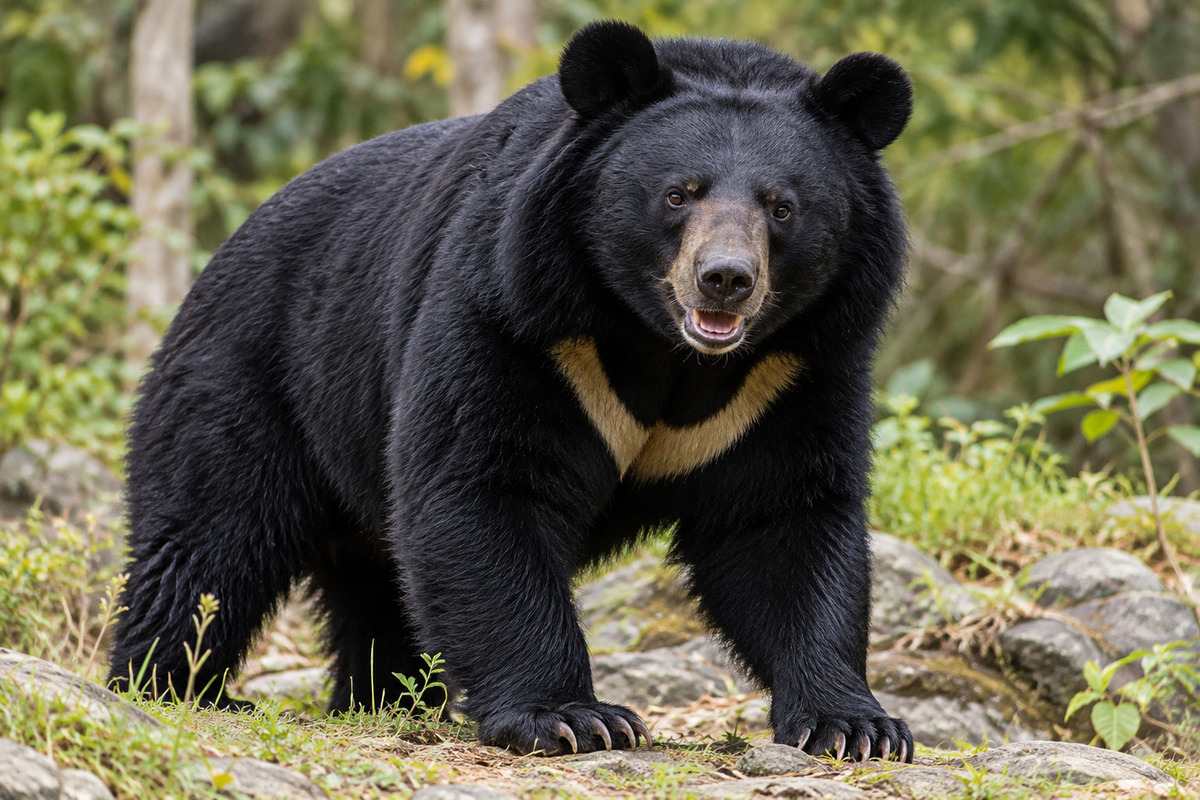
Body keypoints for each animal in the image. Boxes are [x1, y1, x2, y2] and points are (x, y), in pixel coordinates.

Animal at [108, 20, 914, 761]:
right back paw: (173, 687)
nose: (725, 279)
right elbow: (482, 484)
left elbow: (784, 521)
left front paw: (856, 726)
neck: (668, 348)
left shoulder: (793, 371)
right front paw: (573, 717)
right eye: (678, 196)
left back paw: (384, 700)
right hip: (251, 377)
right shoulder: (517, 315)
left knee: (375, 582)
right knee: (209, 541)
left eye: (783, 207)